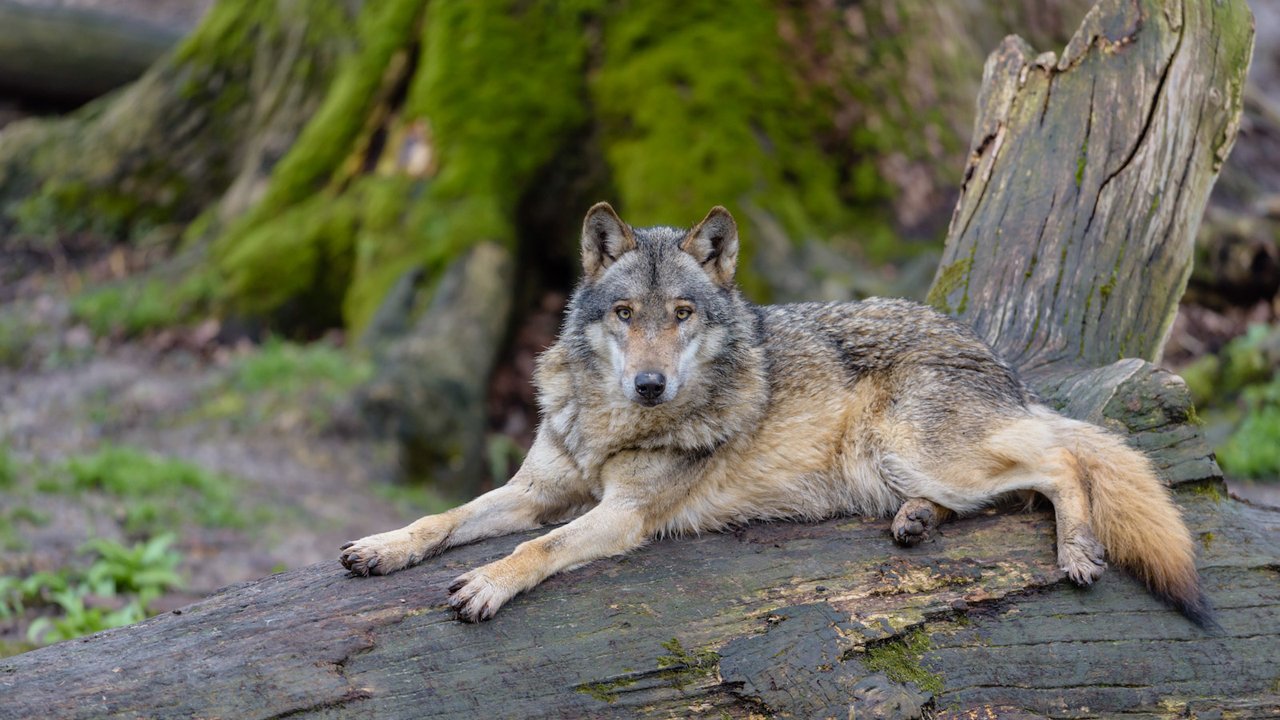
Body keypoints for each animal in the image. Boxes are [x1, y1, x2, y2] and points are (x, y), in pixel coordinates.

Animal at [337, 199, 1208, 622]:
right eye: (626, 315)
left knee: (1064, 462)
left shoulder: (620, 516)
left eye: (682, 314)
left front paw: (486, 584)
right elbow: (444, 518)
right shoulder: (535, 490)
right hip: (906, 465)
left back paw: (1078, 552)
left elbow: (536, 549)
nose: (649, 384)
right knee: (1013, 483)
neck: (611, 422)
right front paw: (383, 547)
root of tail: (997, 358)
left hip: (925, 450)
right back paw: (914, 522)